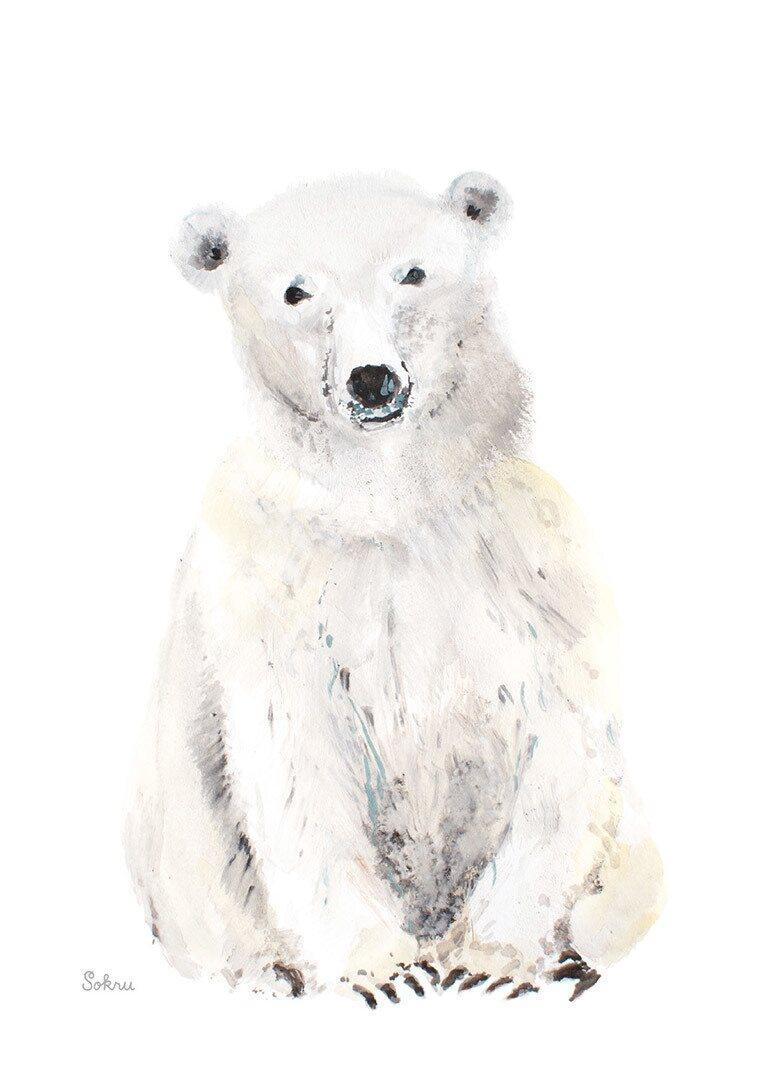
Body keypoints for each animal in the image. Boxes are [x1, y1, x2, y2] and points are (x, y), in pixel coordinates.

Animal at [125, 171, 663, 1005]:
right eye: (296, 291)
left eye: (411, 273)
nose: (373, 379)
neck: (389, 507)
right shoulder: (264, 586)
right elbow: (296, 761)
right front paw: (379, 970)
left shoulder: (533, 564)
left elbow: (563, 738)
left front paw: (489, 960)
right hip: (179, 837)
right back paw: (266, 974)